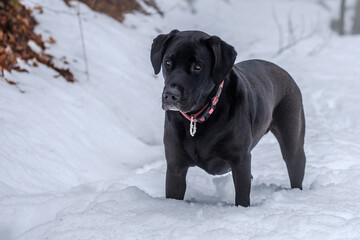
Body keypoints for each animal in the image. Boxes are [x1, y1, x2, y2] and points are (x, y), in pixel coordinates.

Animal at [150, 29, 306, 206]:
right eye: (168, 62)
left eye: (198, 66)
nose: (171, 95)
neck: (199, 117)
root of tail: (284, 72)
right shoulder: (175, 166)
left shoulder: (240, 160)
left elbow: (242, 198)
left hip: (292, 143)